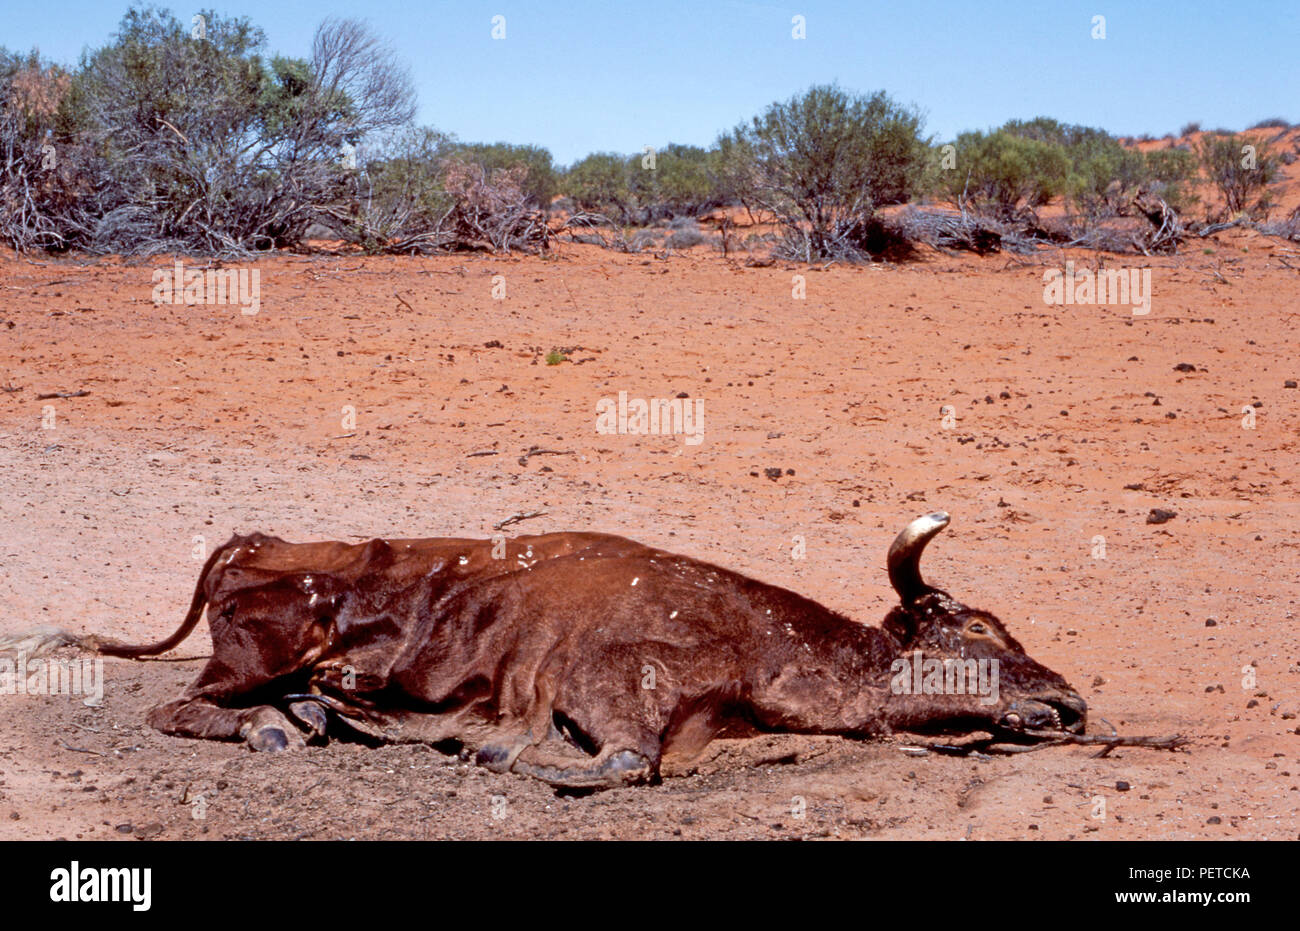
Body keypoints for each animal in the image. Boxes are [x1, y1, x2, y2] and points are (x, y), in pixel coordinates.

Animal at [17, 512, 1086, 790]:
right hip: (251, 658)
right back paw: (277, 730)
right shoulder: (610, 685)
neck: (756, 643)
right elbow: (622, 760)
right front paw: (506, 754)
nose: (1073, 702)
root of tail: (257, 541)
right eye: (978, 629)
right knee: (180, 705)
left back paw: (316, 714)